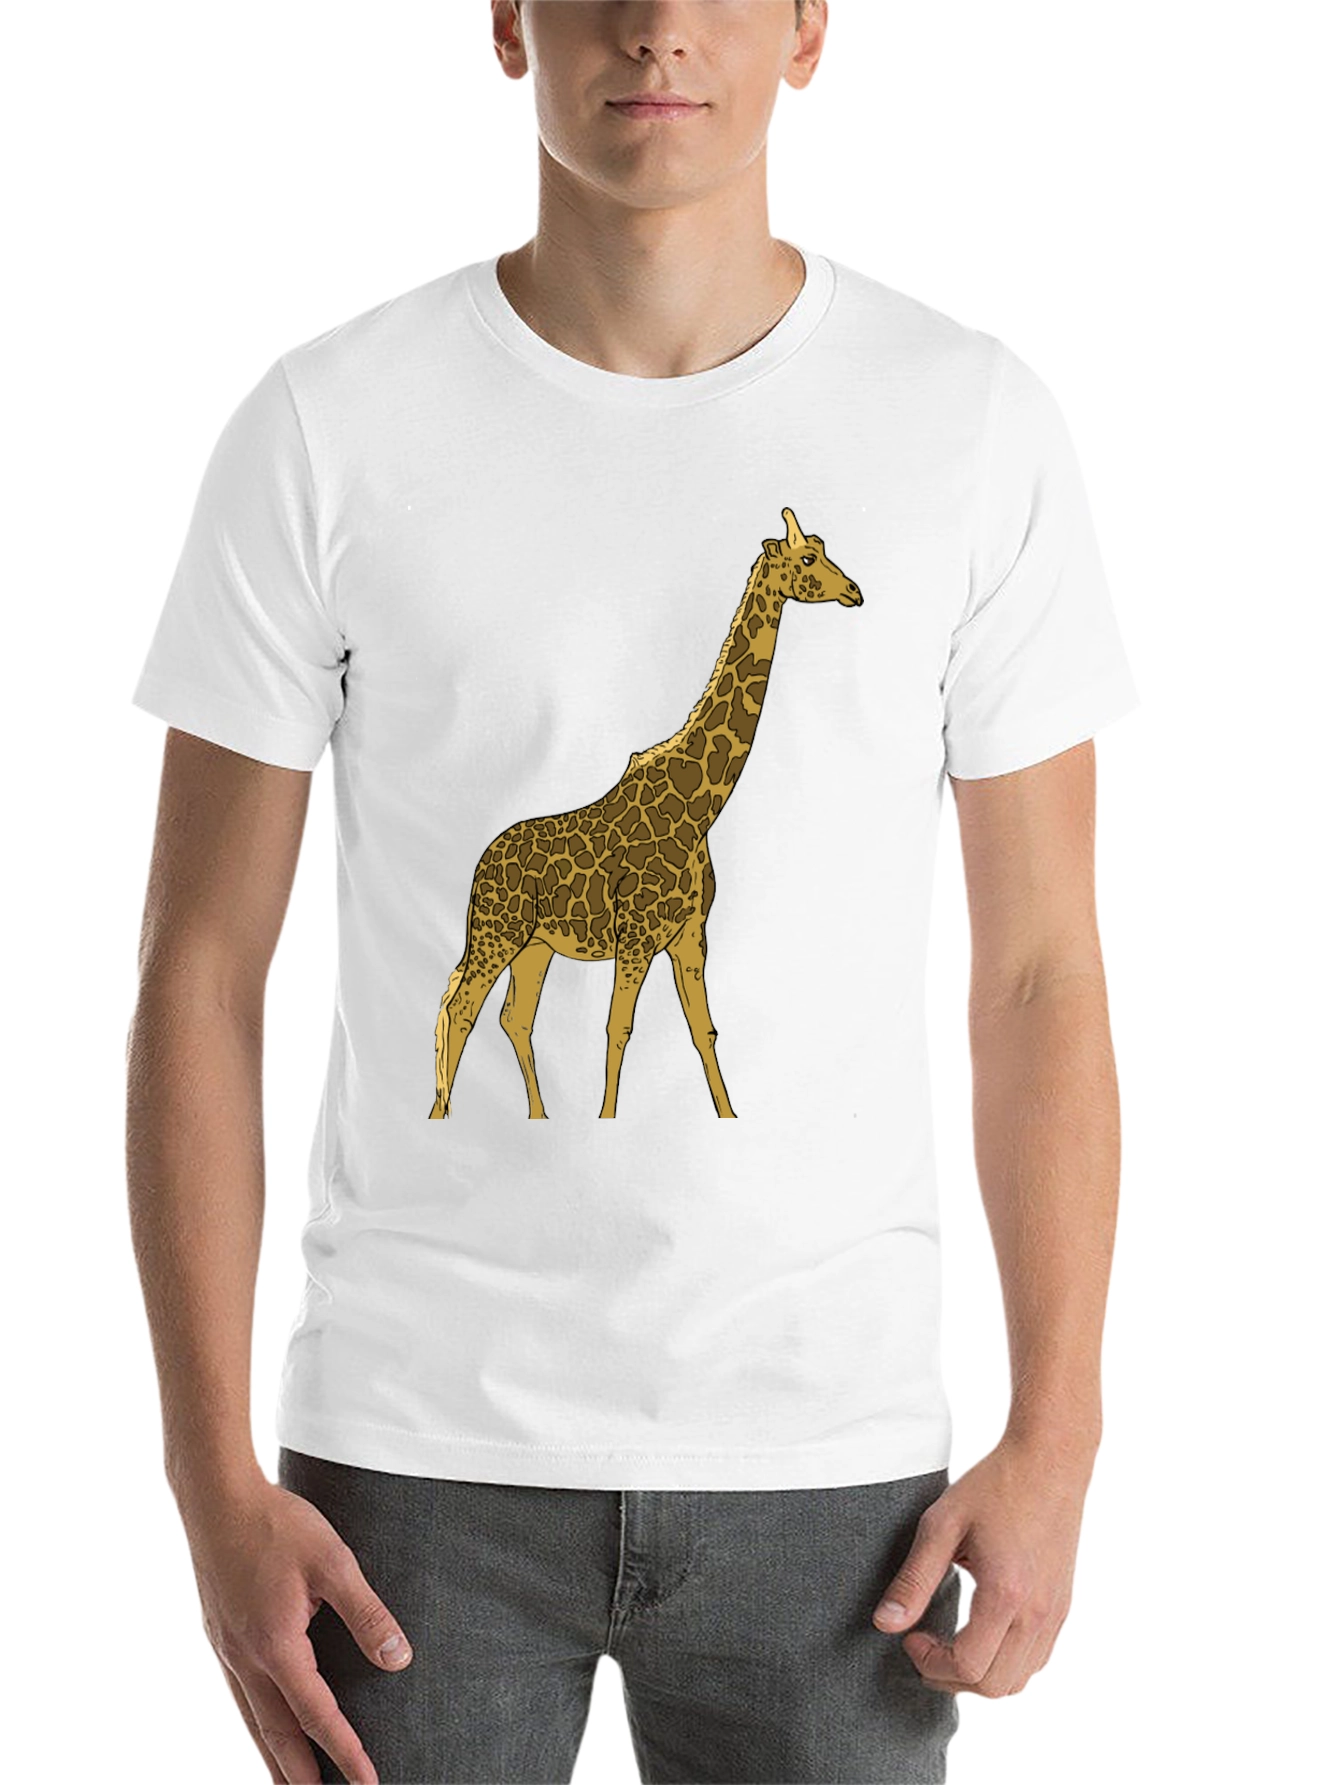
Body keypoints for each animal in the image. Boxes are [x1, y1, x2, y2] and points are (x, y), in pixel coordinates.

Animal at [428, 507, 863, 1120]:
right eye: (806, 558)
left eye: (824, 548)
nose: (854, 591)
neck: (701, 809)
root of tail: (481, 864)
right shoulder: (636, 937)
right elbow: (619, 1029)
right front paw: (606, 1119)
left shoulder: (689, 935)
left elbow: (704, 1031)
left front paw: (729, 1116)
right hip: (497, 932)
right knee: (459, 1007)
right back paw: (440, 1116)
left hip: (535, 946)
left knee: (511, 1016)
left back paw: (538, 1116)